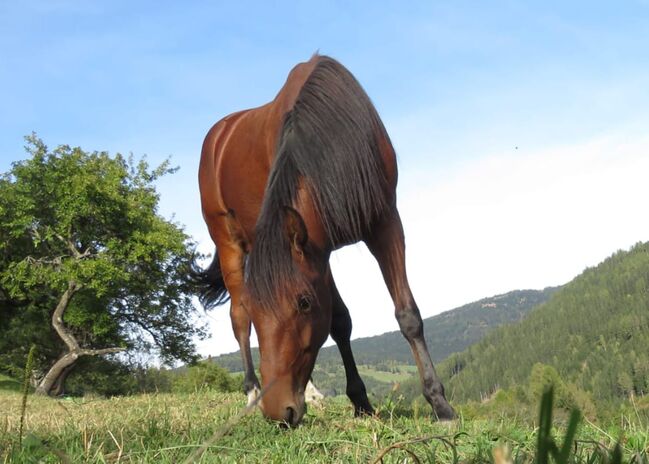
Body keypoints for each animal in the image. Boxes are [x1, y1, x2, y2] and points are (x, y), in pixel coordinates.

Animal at [195, 53, 454, 424]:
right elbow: (339, 321)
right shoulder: (320, 251)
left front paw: (439, 404)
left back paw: (311, 393)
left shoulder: (385, 224)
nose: (279, 413)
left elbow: (407, 315)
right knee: (238, 317)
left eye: (304, 303)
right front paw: (360, 399)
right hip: (229, 244)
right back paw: (253, 391)